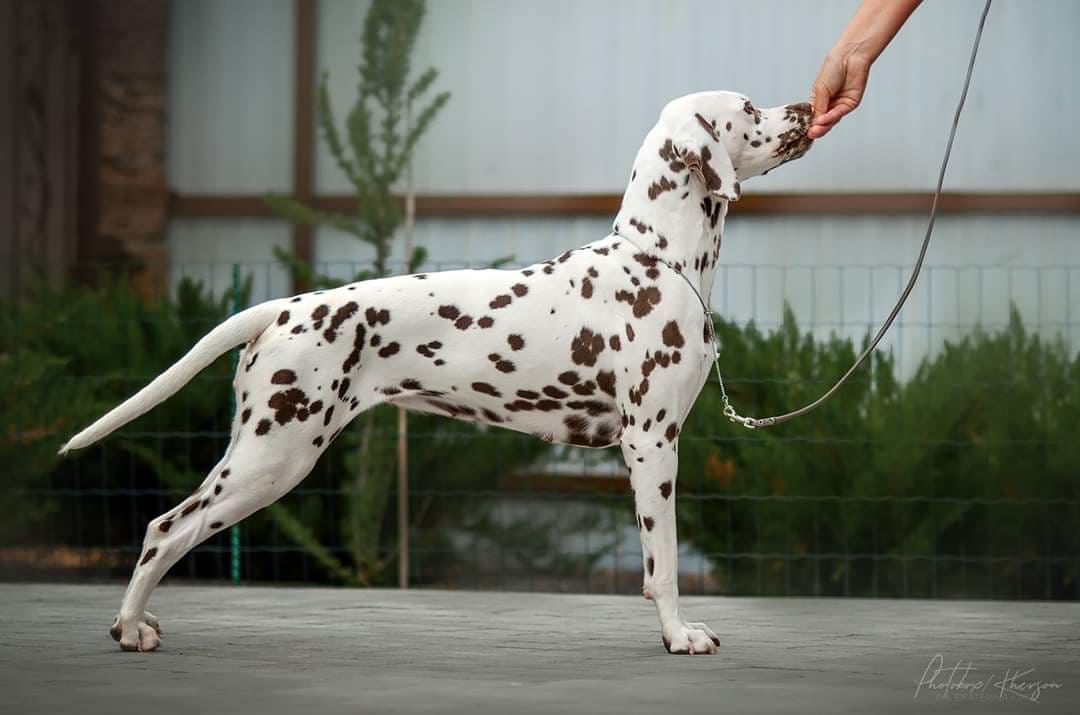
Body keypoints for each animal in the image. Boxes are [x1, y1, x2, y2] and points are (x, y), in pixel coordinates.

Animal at [60, 91, 813, 654]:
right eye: (750, 106)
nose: (807, 105)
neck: (660, 259)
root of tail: (284, 307)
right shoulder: (653, 445)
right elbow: (665, 564)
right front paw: (678, 635)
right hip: (272, 458)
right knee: (166, 528)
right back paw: (130, 627)